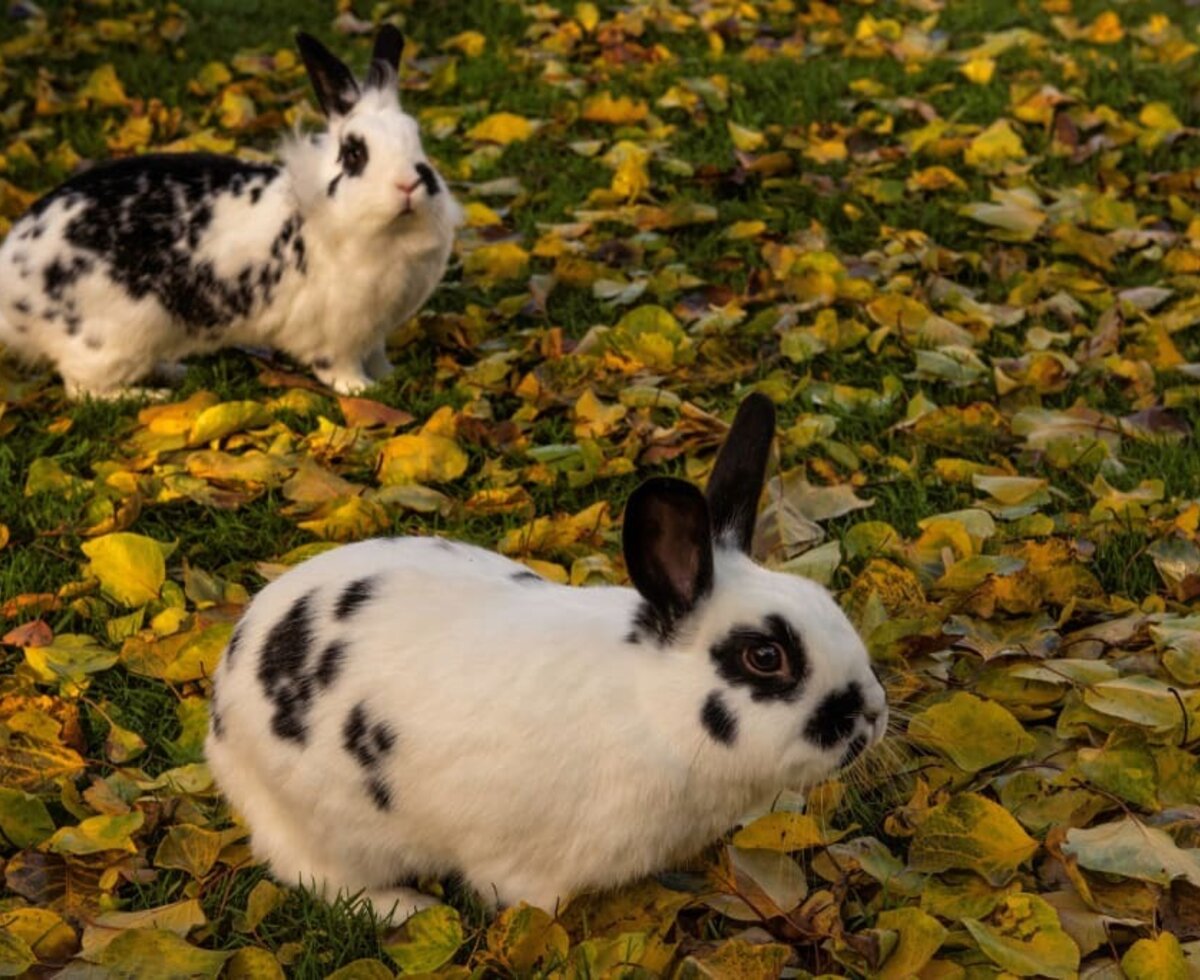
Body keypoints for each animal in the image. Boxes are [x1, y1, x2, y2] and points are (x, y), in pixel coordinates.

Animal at [0, 27, 458, 400]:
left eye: (417, 143)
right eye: (354, 153)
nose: (409, 185)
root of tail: (13, 280)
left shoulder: (375, 331)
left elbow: (378, 356)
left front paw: (391, 376)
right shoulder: (338, 333)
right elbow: (338, 368)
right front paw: (364, 390)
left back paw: (173, 370)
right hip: (111, 338)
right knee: (83, 389)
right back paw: (146, 395)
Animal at [206, 391, 888, 916]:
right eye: (766, 657)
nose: (874, 714)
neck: (650, 709)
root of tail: (223, 712)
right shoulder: (522, 863)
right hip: (330, 826)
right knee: (317, 875)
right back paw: (405, 908)